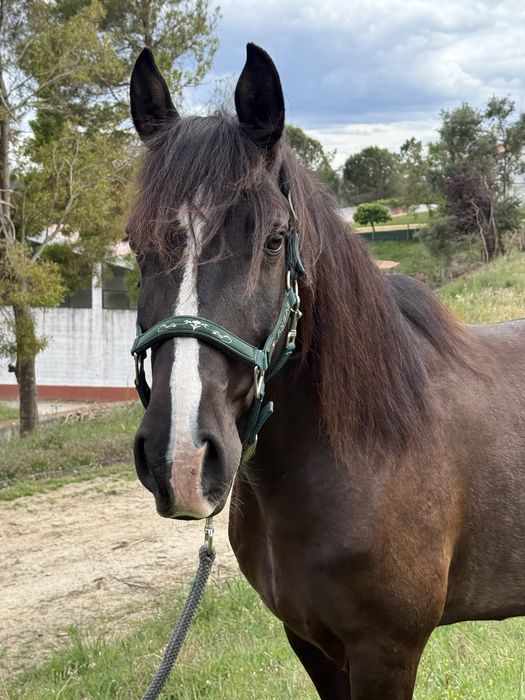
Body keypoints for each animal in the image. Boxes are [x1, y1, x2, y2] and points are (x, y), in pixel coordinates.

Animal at [127, 43, 525, 699]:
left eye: (273, 239)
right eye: (136, 245)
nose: (180, 460)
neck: (370, 448)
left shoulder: (386, 652)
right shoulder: (309, 642)